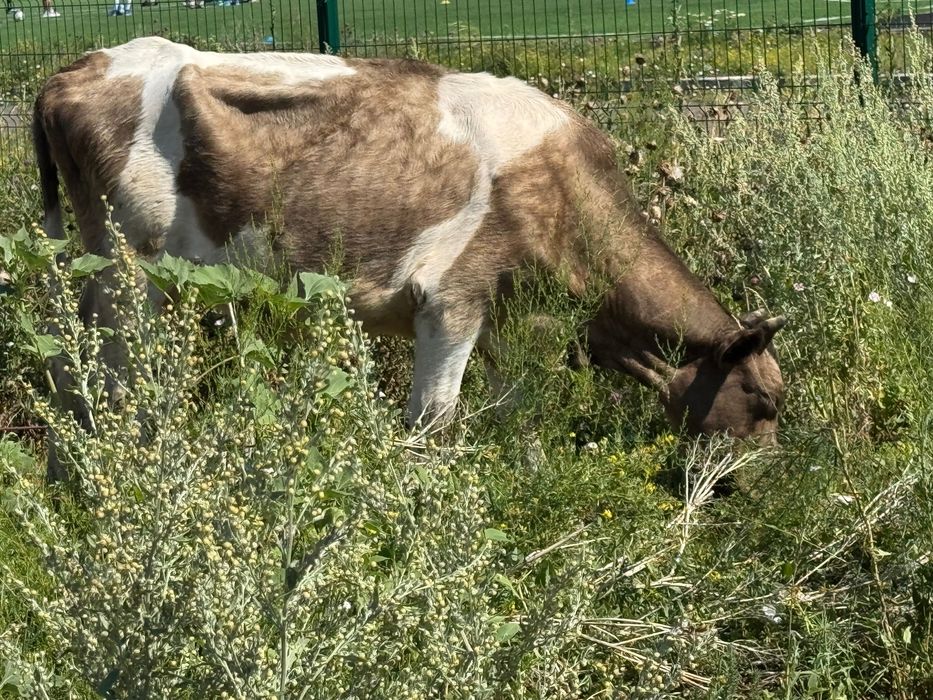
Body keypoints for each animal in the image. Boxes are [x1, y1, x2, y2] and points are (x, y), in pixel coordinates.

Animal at [33, 37, 785, 462]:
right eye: (765, 401)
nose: (761, 480)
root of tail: (81, 66)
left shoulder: (506, 321)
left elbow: (515, 416)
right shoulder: (451, 299)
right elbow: (433, 421)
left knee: (74, 375)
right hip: (132, 274)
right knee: (116, 387)